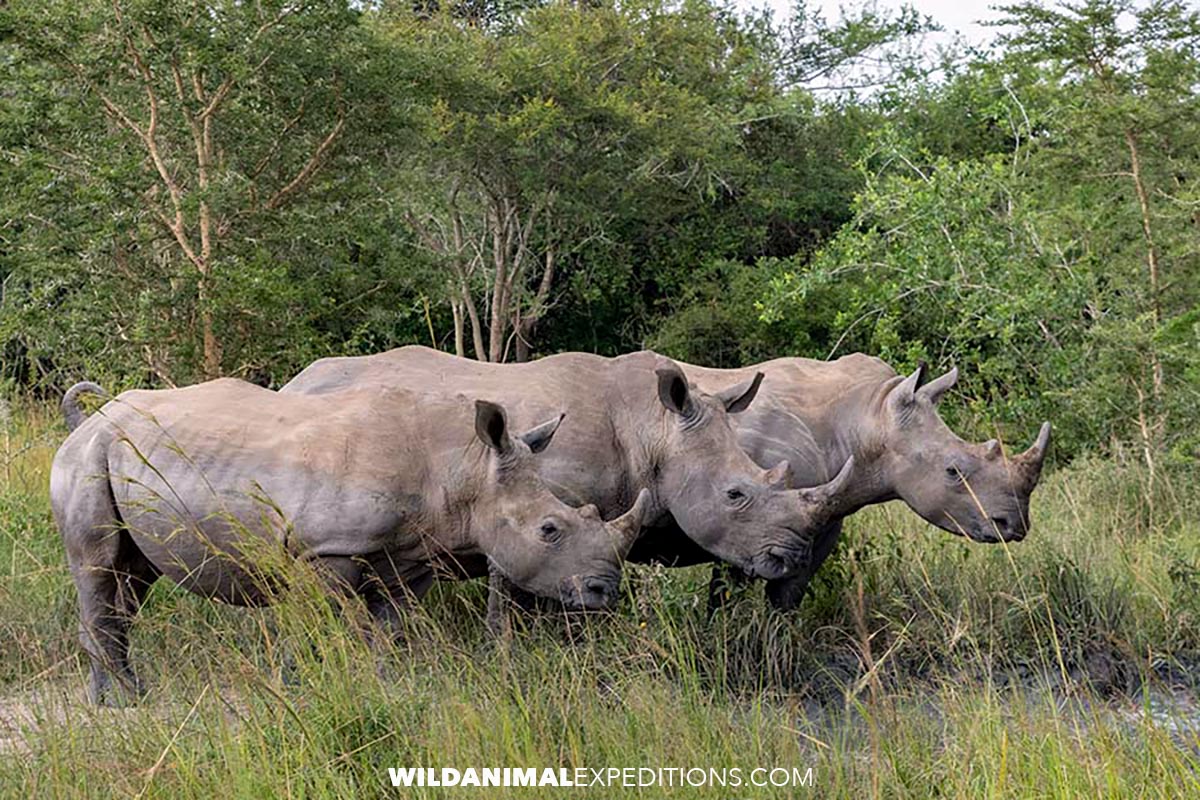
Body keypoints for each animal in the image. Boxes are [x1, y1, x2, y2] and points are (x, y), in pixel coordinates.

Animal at [52, 378, 650, 704]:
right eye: (550, 529)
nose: (604, 592)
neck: (464, 469)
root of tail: (88, 421)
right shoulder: (325, 548)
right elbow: (321, 627)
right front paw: (298, 690)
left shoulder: (411, 556)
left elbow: (391, 630)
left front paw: (391, 685)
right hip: (89, 458)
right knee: (99, 566)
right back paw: (129, 702)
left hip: (118, 457)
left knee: (129, 578)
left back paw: (111, 697)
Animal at [677, 356, 1052, 610]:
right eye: (953, 472)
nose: (1015, 524)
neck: (869, 419)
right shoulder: (744, 520)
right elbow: (727, 595)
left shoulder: (818, 520)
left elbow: (787, 595)